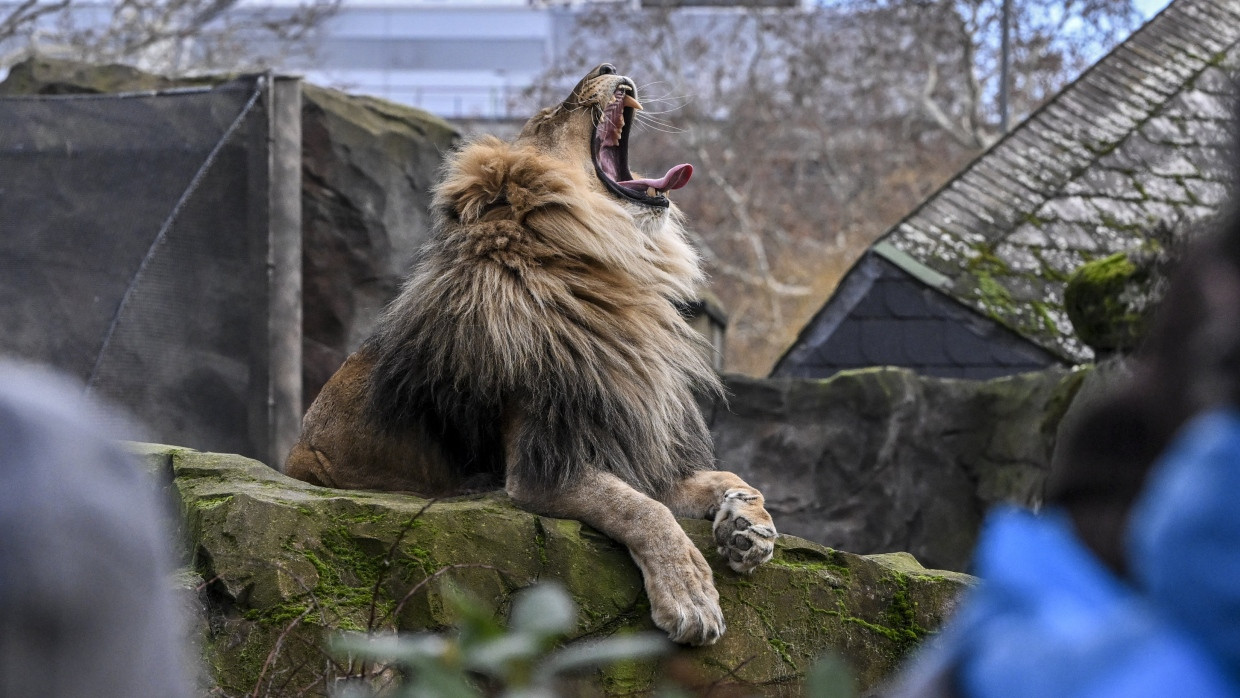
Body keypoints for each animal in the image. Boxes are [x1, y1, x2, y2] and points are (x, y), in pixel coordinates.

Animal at [285, 62, 778, 649]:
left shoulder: (628, 444)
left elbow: (728, 478)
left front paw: (750, 529)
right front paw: (691, 597)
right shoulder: (542, 464)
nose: (607, 67)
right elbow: (645, 510)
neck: (609, 273)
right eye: (553, 113)